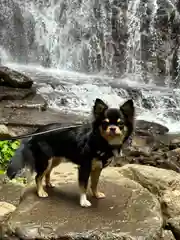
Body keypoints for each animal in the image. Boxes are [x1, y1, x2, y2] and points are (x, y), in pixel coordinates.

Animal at [6, 98, 134, 207]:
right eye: (105, 123)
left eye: (120, 124)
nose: (112, 128)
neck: (102, 142)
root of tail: (36, 131)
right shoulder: (85, 168)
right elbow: (84, 185)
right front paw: (83, 201)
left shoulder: (98, 168)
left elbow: (95, 183)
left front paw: (96, 194)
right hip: (45, 161)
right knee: (38, 177)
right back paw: (41, 192)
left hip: (55, 160)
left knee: (47, 172)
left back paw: (48, 184)